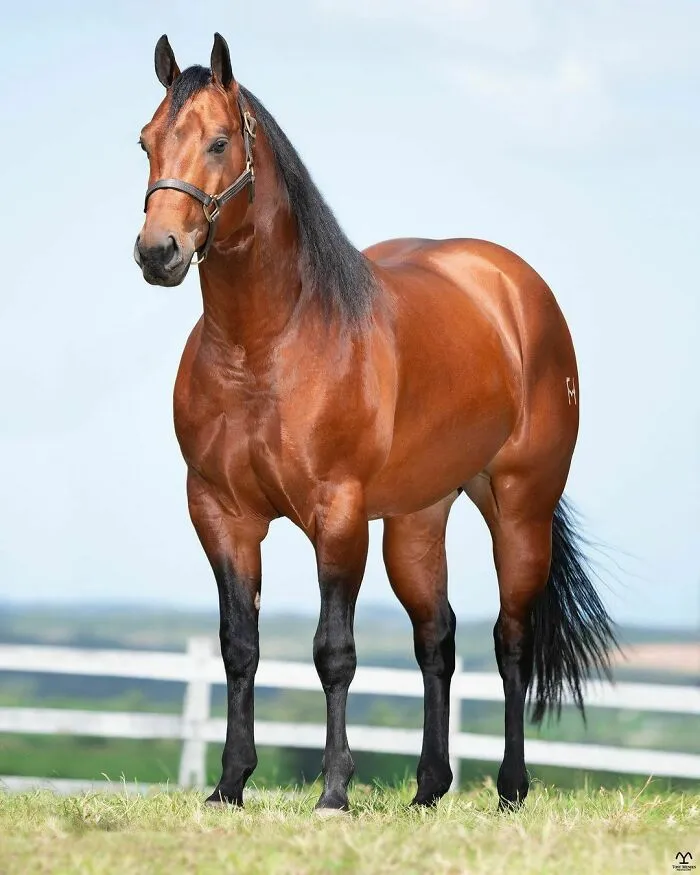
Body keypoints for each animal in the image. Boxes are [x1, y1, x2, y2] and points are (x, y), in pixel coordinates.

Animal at [134, 33, 616, 813]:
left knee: (511, 640)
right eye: (145, 141)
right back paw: (428, 789)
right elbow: (241, 645)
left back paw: (511, 788)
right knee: (436, 639)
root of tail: (515, 288)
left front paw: (334, 790)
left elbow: (334, 652)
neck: (265, 347)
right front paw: (229, 785)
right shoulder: (219, 513)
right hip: (418, 519)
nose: (158, 252)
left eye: (218, 141)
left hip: (518, 506)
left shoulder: (337, 516)